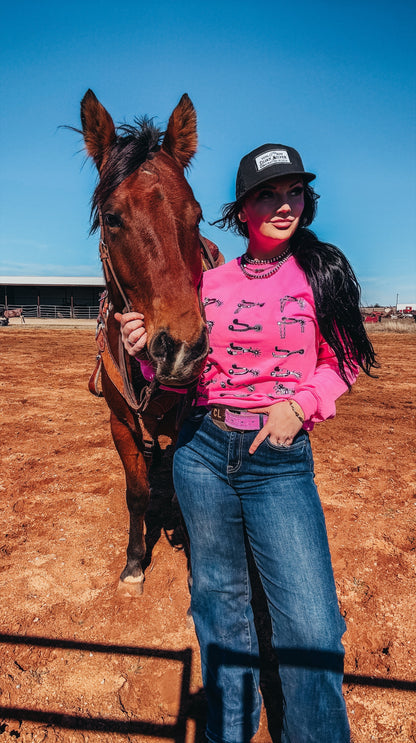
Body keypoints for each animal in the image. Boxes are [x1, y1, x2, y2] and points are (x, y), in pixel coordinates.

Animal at [79, 88, 221, 600]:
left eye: (196, 215)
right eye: (112, 218)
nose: (181, 347)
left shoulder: (183, 419)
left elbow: (180, 480)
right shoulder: (120, 421)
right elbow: (136, 492)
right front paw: (134, 563)